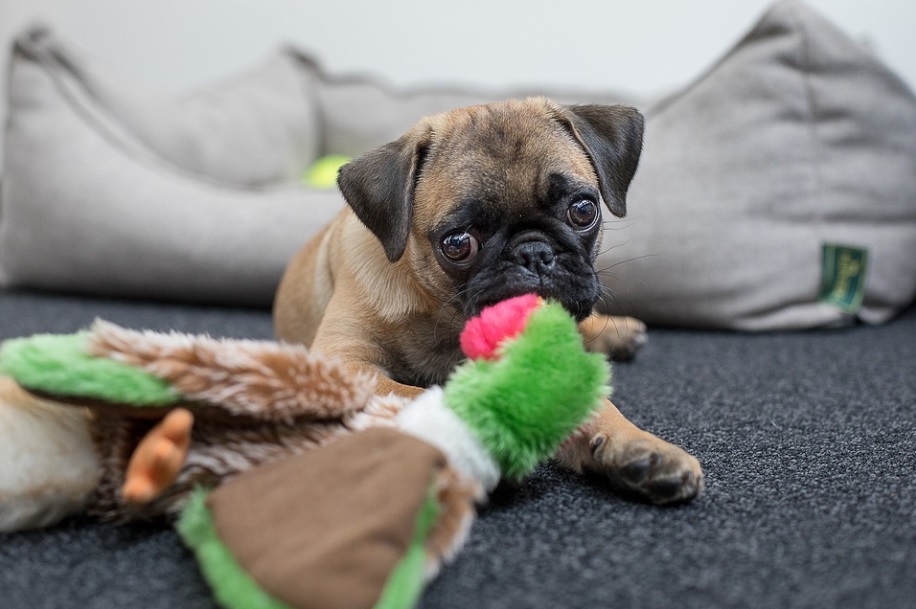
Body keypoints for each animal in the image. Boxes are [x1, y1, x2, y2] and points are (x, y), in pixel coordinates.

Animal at [276, 96, 704, 504]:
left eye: (583, 210)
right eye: (457, 243)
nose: (534, 252)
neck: (444, 316)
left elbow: (597, 405)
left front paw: (638, 445)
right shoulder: (344, 362)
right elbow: (420, 394)